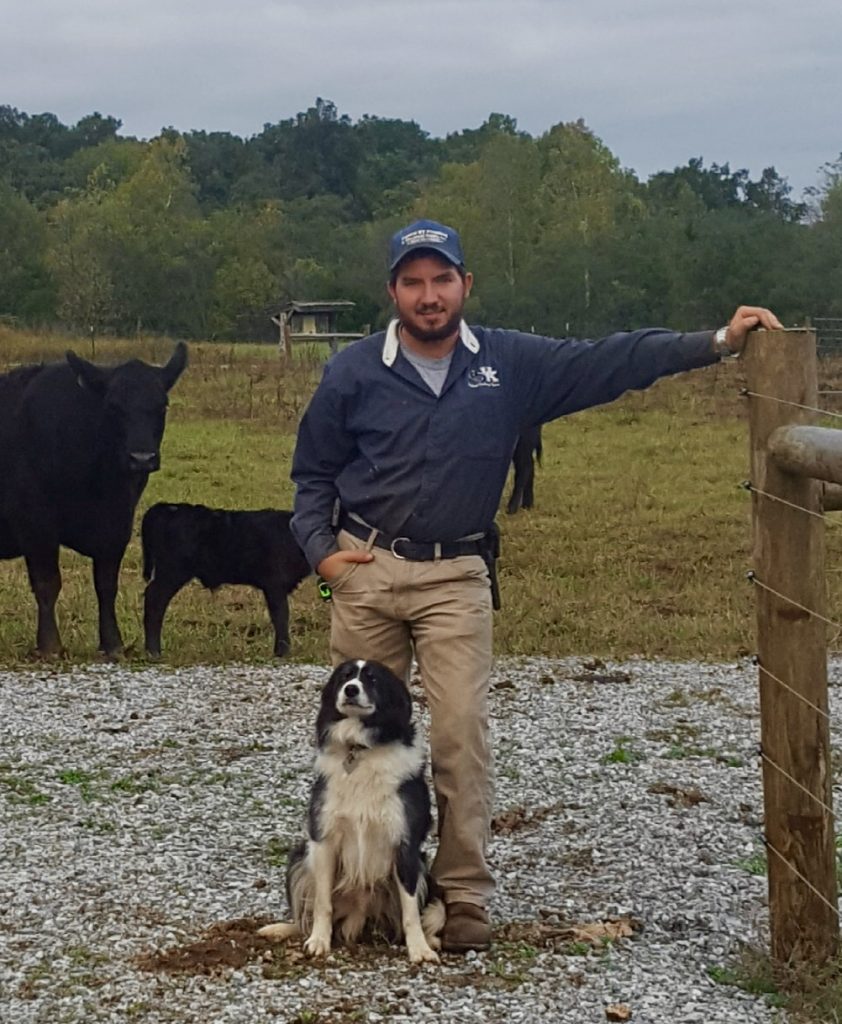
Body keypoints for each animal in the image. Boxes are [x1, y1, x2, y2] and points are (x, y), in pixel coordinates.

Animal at [0, 339, 186, 651]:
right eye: (112, 406)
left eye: (163, 405)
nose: (142, 458)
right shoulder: (36, 524)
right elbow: (47, 583)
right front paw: (50, 645)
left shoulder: (118, 527)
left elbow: (106, 585)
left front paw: (113, 643)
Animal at [141, 501, 313, 655]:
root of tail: (167, 507)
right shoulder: (275, 584)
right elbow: (281, 616)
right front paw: (283, 651)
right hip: (172, 572)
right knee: (155, 600)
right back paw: (154, 651)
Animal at [259, 659, 444, 962]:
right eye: (345, 677)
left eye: (372, 679)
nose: (351, 689)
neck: (358, 748)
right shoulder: (324, 838)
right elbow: (322, 904)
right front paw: (318, 941)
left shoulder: (405, 844)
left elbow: (410, 910)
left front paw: (419, 948)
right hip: (299, 857)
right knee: (305, 915)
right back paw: (282, 929)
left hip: (423, 868)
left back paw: (431, 939)